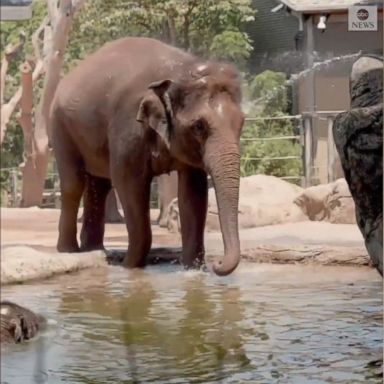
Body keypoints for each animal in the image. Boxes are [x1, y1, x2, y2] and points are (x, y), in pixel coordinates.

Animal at [51, 36, 244, 276]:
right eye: (199, 126)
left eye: (242, 123)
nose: (216, 264)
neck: (181, 71)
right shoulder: (128, 126)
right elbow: (128, 183)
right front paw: (130, 267)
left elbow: (193, 193)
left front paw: (192, 270)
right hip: (60, 126)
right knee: (73, 183)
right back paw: (69, 251)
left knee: (99, 184)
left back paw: (94, 249)